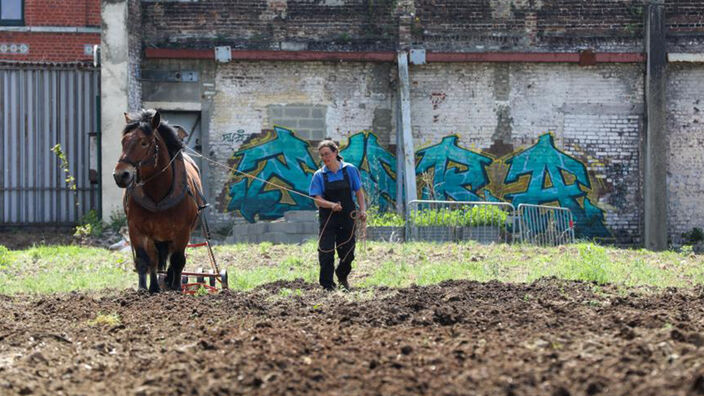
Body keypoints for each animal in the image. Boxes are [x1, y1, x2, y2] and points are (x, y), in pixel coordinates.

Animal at [110, 110, 204, 292]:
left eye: (144, 143)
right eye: (123, 141)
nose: (120, 175)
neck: (158, 194)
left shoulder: (183, 232)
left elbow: (178, 260)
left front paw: (176, 287)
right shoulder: (137, 229)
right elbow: (143, 259)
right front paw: (143, 289)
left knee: (174, 260)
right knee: (153, 259)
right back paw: (154, 286)